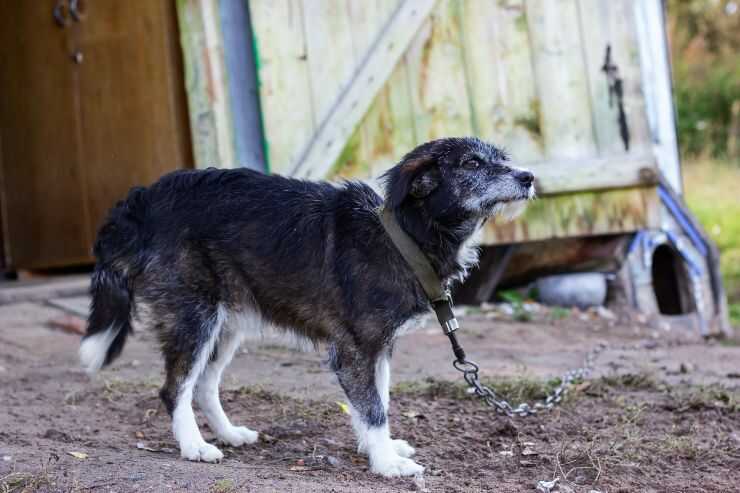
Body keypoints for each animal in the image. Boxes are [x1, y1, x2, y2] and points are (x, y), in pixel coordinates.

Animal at [79, 136, 532, 474]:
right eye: (472, 163)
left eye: (503, 159)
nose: (529, 176)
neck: (402, 236)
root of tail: (143, 200)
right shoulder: (355, 350)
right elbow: (373, 409)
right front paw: (386, 463)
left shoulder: (379, 348)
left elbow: (376, 402)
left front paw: (378, 449)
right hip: (194, 317)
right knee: (175, 388)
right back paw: (195, 447)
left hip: (228, 322)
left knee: (204, 384)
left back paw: (228, 433)